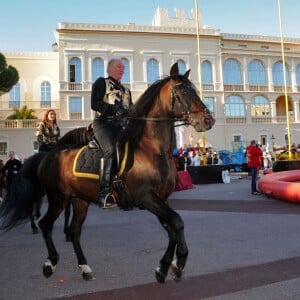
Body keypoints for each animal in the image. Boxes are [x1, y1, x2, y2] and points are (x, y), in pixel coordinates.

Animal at [0, 62, 216, 282]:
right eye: (182, 92)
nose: (208, 120)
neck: (152, 150)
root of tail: (47, 155)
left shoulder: (161, 199)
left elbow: (171, 228)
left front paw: (165, 266)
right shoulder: (146, 197)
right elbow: (177, 222)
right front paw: (179, 262)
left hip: (79, 200)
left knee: (75, 231)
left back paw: (84, 267)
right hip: (58, 198)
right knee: (45, 224)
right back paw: (50, 263)